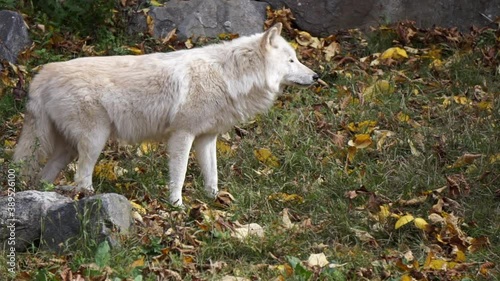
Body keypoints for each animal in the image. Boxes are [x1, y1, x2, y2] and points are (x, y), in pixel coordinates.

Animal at [16, 23, 320, 205]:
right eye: (291, 60)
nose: (317, 76)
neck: (228, 76)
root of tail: (42, 74)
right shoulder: (182, 135)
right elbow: (181, 173)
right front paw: (177, 205)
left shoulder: (206, 139)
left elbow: (212, 175)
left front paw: (214, 201)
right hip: (94, 140)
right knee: (81, 178)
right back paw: (89, 198)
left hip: (68, 148)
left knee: (45, 176)